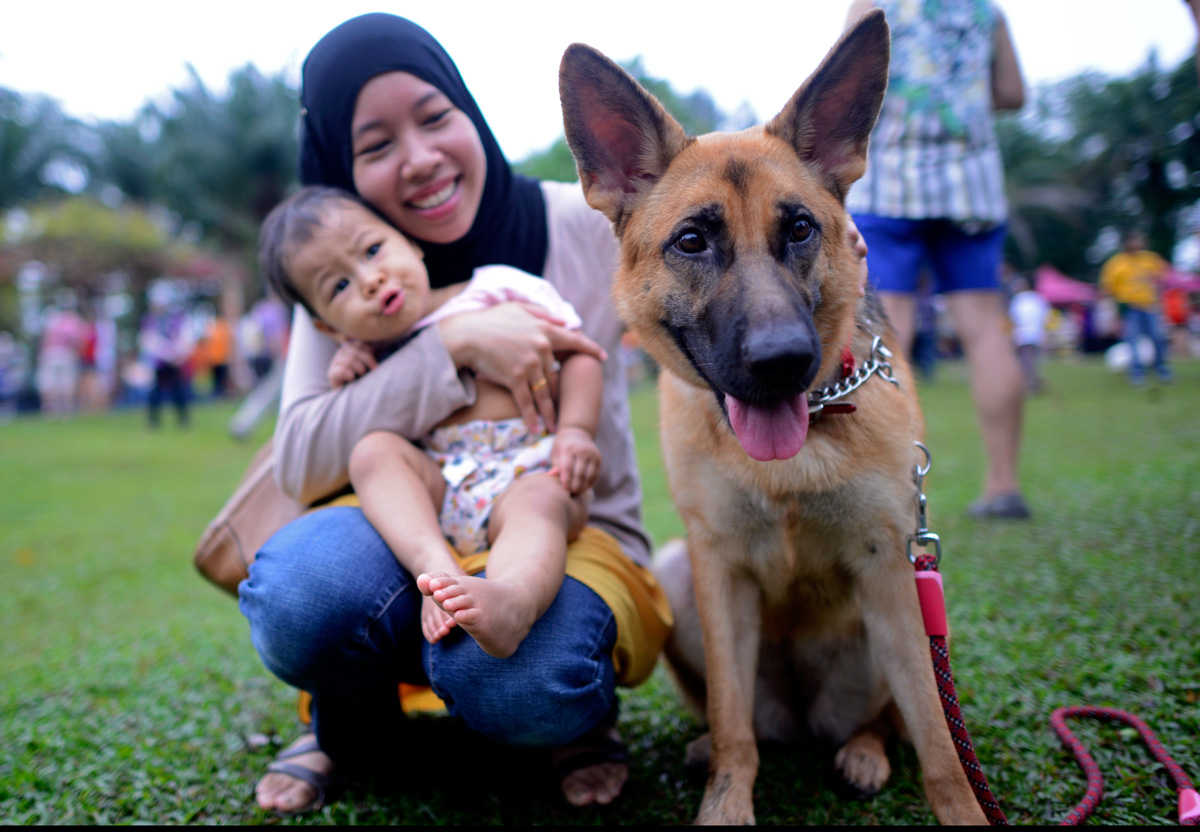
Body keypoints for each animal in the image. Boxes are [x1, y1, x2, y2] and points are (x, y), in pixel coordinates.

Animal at [559, 9, 984, 821]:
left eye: (800, 229)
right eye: (693, 240)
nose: (783, 360)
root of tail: (802, 718)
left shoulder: (892, 570)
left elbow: (942, 749)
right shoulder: (718, 570)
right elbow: (734, 730)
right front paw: (726, 800)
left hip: (906, 617)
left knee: (891, 719)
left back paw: (863, 751)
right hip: (682, 577)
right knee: (740, 721)